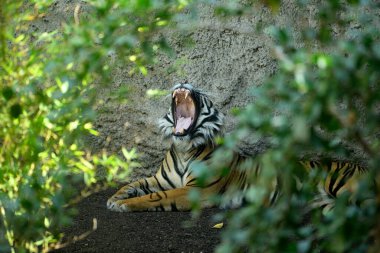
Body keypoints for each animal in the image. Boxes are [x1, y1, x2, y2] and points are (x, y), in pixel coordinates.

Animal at [106, 83, 366, 211]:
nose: (182, 80)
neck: (183, 148)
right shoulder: (160, 179)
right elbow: (134, 184)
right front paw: (115, 197)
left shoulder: (195, 189)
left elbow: (156, 196)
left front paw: (123, 205)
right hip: (329, 206)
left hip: (344, 187)